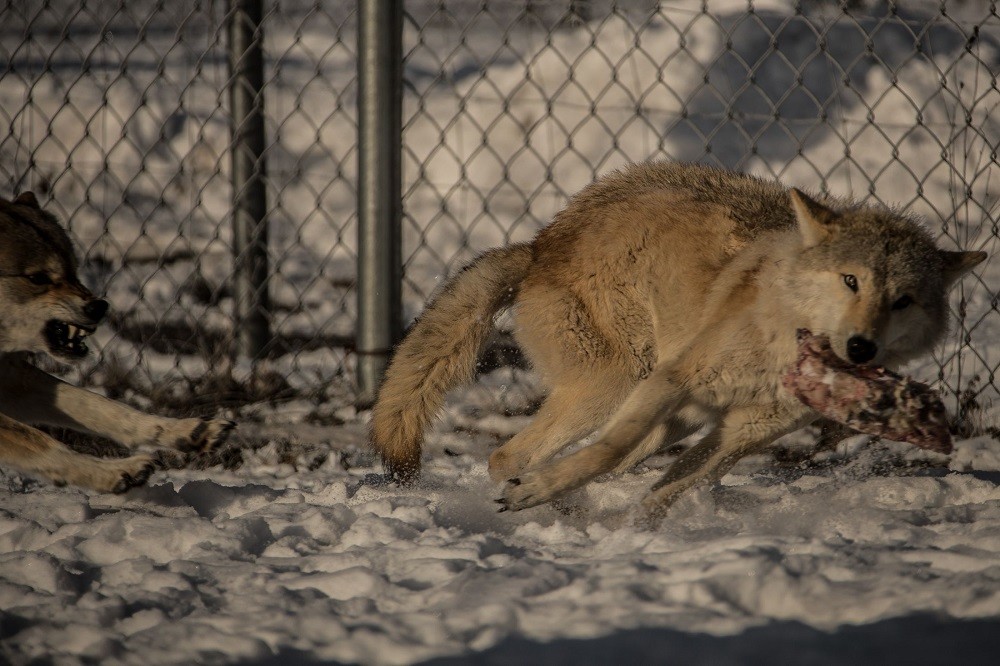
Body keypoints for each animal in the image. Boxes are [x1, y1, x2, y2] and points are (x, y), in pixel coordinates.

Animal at [0, 192, 233, 492]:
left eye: (74, 270)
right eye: (37, 278)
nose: (99, 307)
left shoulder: (12, 377)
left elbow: (106, 407)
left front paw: (187, 431)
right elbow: (42, 442)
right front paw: (113, 472)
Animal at [370, 160, 984, 512]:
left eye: (902, 301)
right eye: (850, 281)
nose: (860, 347)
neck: (778, 347)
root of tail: (540, 245)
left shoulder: (740, 434)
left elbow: (665, 494)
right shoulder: (677, 379)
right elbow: (607, 458)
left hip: (666, 418)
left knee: (572, 458)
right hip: (622, 386)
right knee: (511, 456)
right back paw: (543, 502)